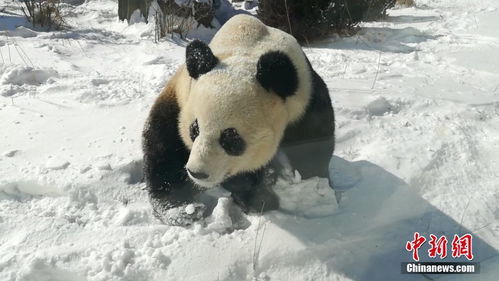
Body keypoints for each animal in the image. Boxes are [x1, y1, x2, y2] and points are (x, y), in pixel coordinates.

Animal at [143, 14, 334, 225]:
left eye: (230, 137)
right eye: (194, 129)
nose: (197, 172)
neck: (247, 52)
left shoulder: (305, 100)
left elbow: (314, 144)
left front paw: (318, 186)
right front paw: (259, 197)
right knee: (163, 151)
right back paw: (182, 210)